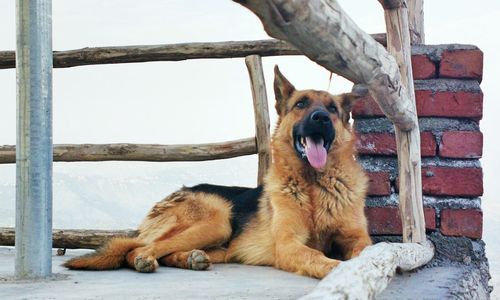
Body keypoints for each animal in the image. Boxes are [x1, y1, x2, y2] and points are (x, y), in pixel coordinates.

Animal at [64, 65, 372, 278]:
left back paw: (190, 259)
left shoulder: (358, 238)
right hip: (218, 220)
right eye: (301, 104)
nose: (321, 119)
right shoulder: (289, 244)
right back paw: (149, 259)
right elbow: (316, 257)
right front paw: (337, 267)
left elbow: (367, 249)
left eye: (332, 108)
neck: (314, 185)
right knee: (139, 249)